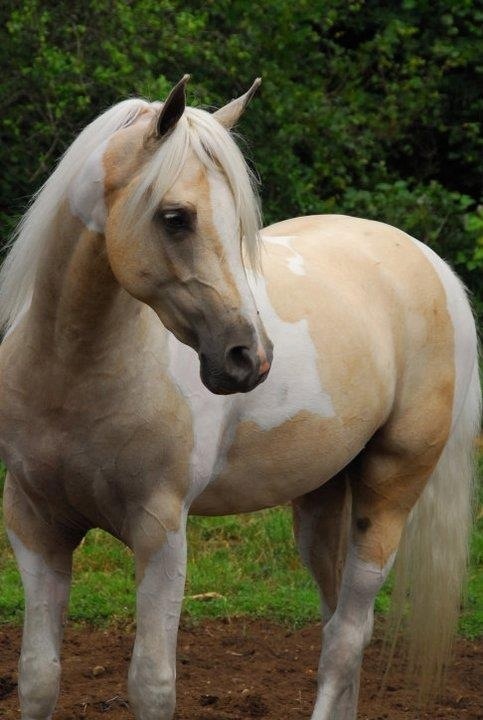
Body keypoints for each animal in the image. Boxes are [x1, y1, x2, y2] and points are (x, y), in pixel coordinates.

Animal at [0, 74, 480, 720]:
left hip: (389, 496)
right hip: (319, 504)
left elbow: (151, 684)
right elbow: (38, 676)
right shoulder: (35, 526)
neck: (72, 374)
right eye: (175, 218)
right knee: (340, 626)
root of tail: (428, 264)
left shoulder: (161, 532)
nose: (248, 358)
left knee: (346, 636)